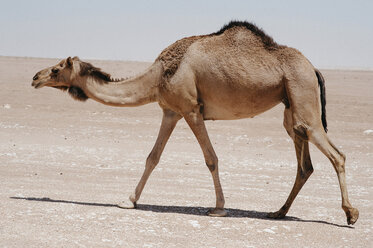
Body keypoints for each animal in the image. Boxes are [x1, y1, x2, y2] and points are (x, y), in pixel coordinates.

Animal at [31, 20, 358, 225]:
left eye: (57, 69)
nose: (35, 77)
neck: (158, 75)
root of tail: (313, 67)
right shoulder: (170, 111)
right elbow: (152, 157)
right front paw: (128, 201)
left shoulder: (190, 109)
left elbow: (211, 158)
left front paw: (219, 209)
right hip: (291, 107)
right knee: (304, 161)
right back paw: (278, 212)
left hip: (303, 97)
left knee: (336, 155)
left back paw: (350, 214)